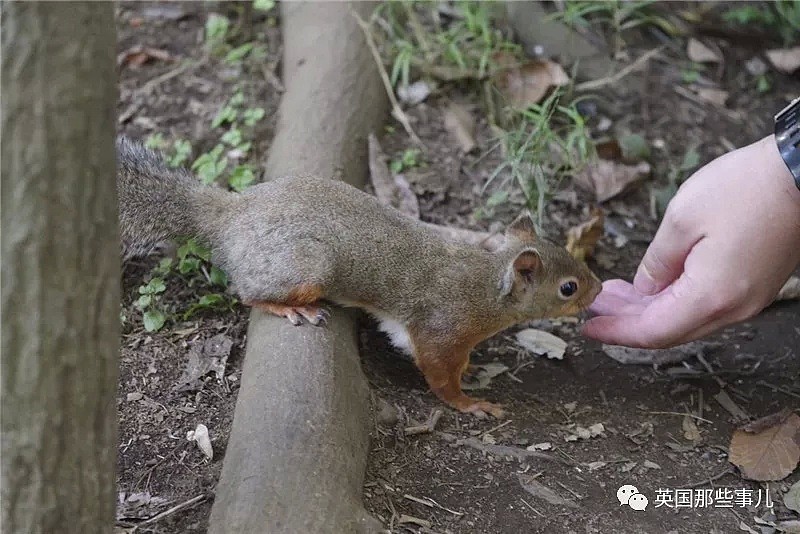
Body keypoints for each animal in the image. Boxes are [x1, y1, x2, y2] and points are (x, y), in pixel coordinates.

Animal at [120, 137, 600, 418]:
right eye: (568, 288)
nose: (597, 289)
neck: (485, 287)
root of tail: (230, 219)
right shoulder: (441, 330)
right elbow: (439, 373)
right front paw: (470, 403)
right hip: (308, 265)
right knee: (247, 292)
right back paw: (290, 308)